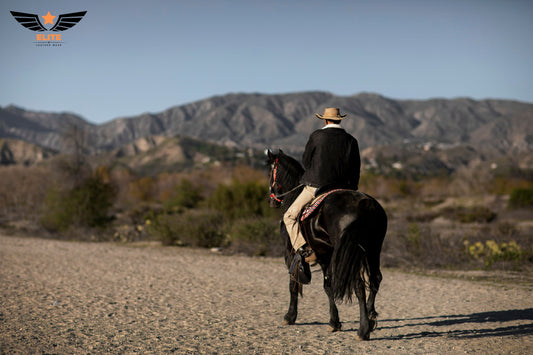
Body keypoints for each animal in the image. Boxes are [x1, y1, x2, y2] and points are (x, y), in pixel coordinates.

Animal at [266, 150, 386, 342]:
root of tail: (365, 204)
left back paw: (363, 330)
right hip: (373, 250)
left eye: (271, 172)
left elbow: (294, 284)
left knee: (359, 285)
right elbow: (327, 286)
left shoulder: (291, 254)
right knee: (375, 280)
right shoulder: (325, 256)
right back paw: (371, 317)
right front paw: (334, 322)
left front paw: (290, 316)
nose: (272, 201)